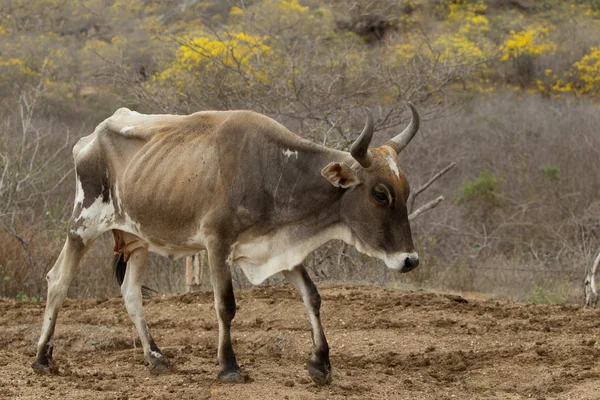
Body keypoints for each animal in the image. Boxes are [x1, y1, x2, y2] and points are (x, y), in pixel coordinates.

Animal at [30, 103, 420, 384]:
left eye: (405, 191)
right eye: (380, 194)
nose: (410, 260)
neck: (271, 168)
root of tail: (90, 138)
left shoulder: (279, 248)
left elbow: (312, 296)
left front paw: (321, 362)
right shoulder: (216, 243)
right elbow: (225, 306)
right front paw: (228, 366)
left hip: (137, 240)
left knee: (130, 293)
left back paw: (155, 357)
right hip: (82, 226)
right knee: (58, 281)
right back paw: (42, 357)